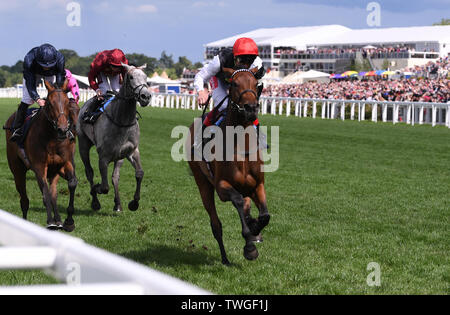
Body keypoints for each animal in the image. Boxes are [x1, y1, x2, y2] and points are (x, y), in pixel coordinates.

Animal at [3, 80, 79, 231]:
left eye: (67, 102)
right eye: (50, 104)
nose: (63, 129)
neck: (53, 139)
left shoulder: (64, 164)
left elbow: (72, 183)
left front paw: (68, 221)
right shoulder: (39, 167)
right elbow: (45, 192)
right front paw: (50, 221)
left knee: (53, 194)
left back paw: (58, 219)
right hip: (17, 170)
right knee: (24, 200)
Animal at [77, 63, 153, 214]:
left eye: (146, 77)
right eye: (131, 77)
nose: (146, 96)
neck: (121, 120)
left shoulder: (131, 151)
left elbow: (139, 173)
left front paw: (134, 203)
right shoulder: (103, 157)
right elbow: (104, 186)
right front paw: (96, 189)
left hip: (119, 157)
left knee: (115, 177)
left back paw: (118, 204)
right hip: (83, 144)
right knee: (89, 172)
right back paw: (95, 201)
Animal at [187, 67, 270, 266]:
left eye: (256, 83)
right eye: (234, 83)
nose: (250, 108)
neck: (241, 147)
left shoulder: (258, 185)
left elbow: (264, 216)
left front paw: (255, 229)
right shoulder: (222, 187)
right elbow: (238, 201)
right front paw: (250, 248)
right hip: (203, 183)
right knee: (216, 224)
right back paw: (225, 258)